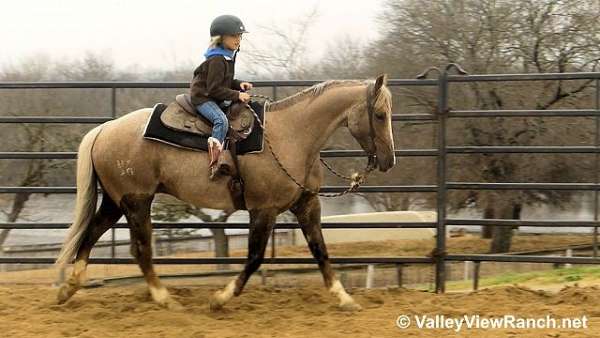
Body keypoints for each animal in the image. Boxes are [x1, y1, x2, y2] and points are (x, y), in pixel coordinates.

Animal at [55, 74, 394, 312]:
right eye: (379, 115)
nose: (389, 161)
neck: (291, 136)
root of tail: (104, 129)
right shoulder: (263, 210)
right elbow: (255, 258)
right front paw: (220, 298)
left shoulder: (306, 205)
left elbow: (321, 251)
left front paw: (345, 299)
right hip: (136, 201)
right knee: (140, 250)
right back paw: (165, 300)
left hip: (116, 201)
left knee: (90, 234)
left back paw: (68, 289)